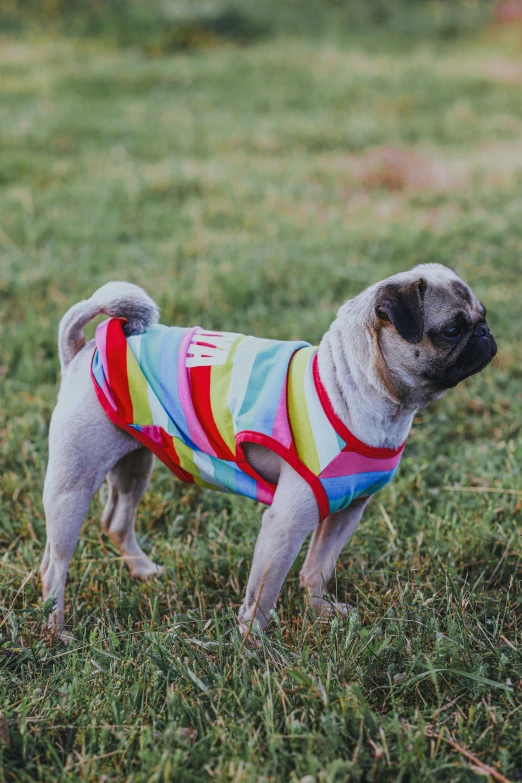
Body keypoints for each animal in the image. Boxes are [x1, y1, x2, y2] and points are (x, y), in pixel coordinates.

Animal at [40, 266, 496, 632]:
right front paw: (252, 648)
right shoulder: (285, 525)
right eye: (452, 329)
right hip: (72, 486)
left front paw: (321, 612)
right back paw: (56, 630)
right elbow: (262, 596)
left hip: (135, 463)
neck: (351, 388)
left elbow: (318, 568)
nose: (486, 333)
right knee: (54, 565)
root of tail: (84, 349)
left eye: (483, 315)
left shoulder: (347, 511)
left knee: (117, 520)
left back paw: (142, 570)